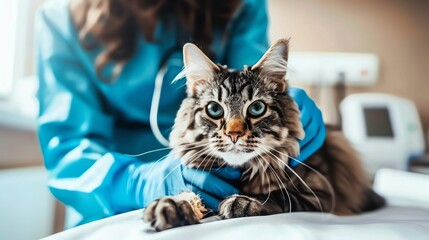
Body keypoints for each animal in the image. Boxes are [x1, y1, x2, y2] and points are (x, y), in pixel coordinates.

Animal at [142, 39, 382, 231]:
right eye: (214, 109)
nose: (234, 134)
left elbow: (280, 195)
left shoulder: (321, 194)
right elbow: (191, 194)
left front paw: (243, 202)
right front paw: (171, 205)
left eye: (256, 108)